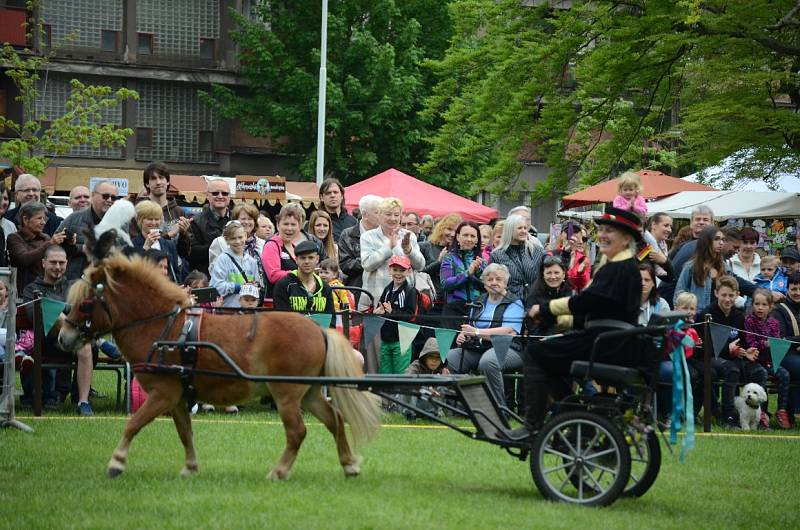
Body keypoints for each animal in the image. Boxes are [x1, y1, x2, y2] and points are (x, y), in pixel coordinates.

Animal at [57, 231, 382, 478]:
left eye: (85, 303)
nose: (63, 337)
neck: (162, 326)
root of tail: (319, 331)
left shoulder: (163, 392)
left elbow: (133, 424)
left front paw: (117, 462)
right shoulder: (178, 396)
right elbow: (184, 432)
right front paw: (190, 467)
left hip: (286, 392)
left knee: (297, 432)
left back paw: (279, 471)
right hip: (309, 392)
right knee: (334, 420)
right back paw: (348, 465)